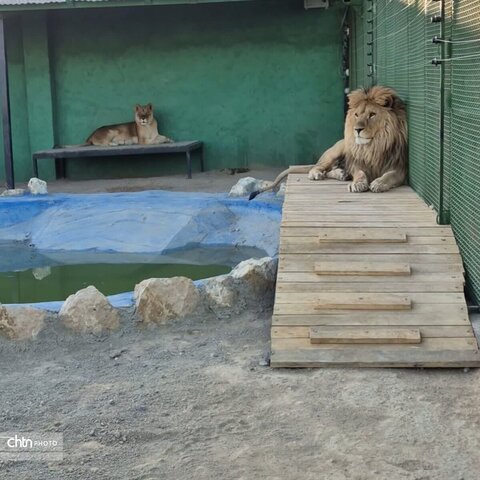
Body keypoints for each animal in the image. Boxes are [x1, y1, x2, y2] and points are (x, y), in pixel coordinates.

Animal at [249, 86, 406, 199]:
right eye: (356, 115)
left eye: (372, 114)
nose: (357, 129)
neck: (373, 146)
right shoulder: (356, 164)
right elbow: (360, 173)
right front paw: (357, 184)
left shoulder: (400, 168)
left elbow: (389, 175)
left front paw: (378, 183)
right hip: (336, 151)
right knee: (318, 167)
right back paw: (322, 174)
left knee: (329, 171)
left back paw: (342, 174)